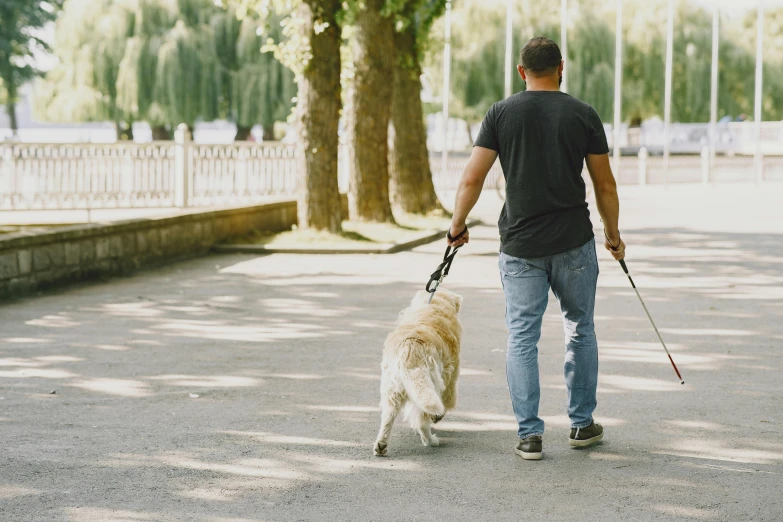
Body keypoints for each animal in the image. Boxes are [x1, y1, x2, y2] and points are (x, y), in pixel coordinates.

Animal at [372, 286, 460, 452]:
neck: (434, 307)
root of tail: (409, 348)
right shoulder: (450, 376)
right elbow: (446, 399)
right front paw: (438, 416)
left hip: (393, 389)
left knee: (388, 417)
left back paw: (381, 445)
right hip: (430, 382)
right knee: (422, 419)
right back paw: (430, 440)